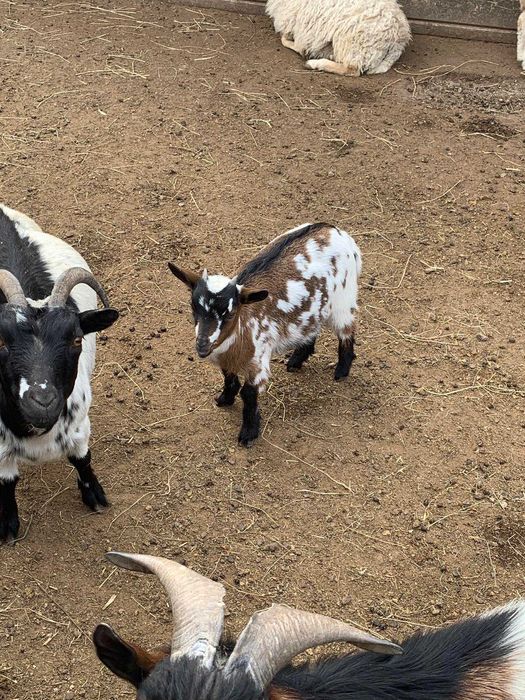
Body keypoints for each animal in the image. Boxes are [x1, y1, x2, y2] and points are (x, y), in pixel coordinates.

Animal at [0, 204, 119, 543]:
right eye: (1, 339)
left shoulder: (80, 424)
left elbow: (82, 458)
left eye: (76, 339)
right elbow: (7, 482)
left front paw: (94, 495)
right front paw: (8, 525)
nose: (42, 402)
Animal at [169, 223, 361, 446]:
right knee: (311, 326)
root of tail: (336, 230)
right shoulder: (226, 356)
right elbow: (229, 378)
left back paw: (341, 370)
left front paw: (248, 433)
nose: (202, 346)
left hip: (343, 302)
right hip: (316, 306)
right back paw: (296, 359)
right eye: (194, 307)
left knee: (347, 332)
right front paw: (224, 399)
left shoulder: (258, 360)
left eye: (231, 313)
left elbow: (248, 394)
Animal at [266, 0, 411, 76]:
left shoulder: (296, 23)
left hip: (353, 42)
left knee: (353, 69)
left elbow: (286, 40)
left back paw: (315, 63)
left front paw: (303, 51)